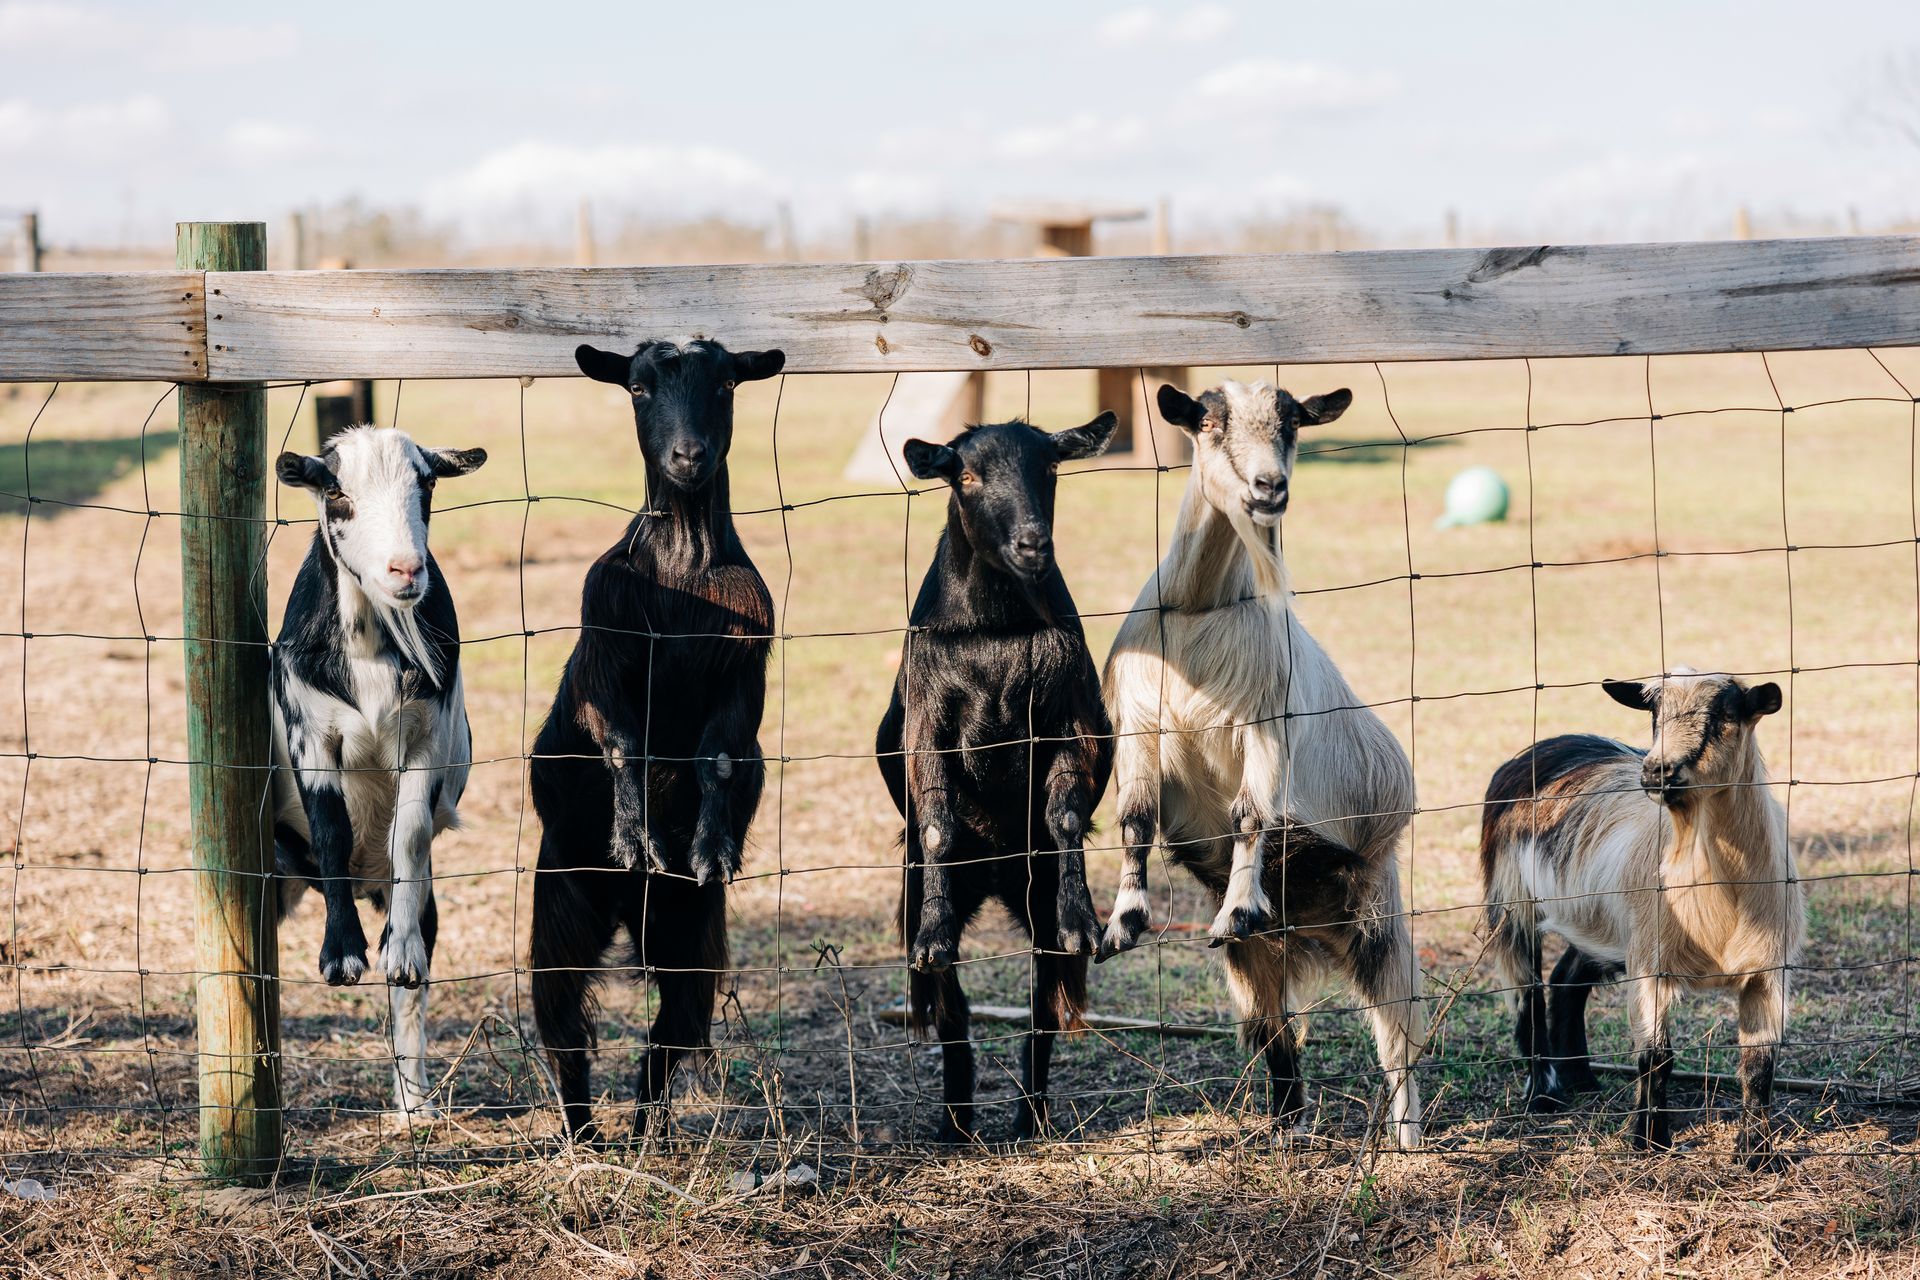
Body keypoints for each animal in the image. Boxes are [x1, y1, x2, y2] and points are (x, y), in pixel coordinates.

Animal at [271, 426, 488, 1118]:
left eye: (428, 483)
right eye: (335, 491)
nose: (406, 571)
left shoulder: (425, 735)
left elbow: (411, 833)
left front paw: (398, 955)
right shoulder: (310, 731)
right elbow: (330, 827)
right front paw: (341, 956)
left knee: (410, 979)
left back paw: (414, 1100)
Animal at [530, 337, 784, 1142]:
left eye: (727, 383)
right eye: (638, 388)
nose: (687, 455)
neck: (683, 573)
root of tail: (623, 907)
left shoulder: (744, 668)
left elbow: (721, 757)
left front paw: (710, 850)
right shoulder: (605, 654)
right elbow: (624, 744)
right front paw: (634, 836)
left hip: (682, 927)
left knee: (672, 1025)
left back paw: (647, 1134)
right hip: (564, 899)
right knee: (564, 1025)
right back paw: (583, 1137)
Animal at [875, 412, 1118, 1143]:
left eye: (1050, 467)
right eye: (967, 474)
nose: (1033, 542)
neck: (994, 628)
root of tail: (995, 875)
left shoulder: (1065, 716)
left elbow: (1065, 813)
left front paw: (1083, 920)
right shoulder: (927, 719)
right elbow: (936, 823)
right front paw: (933, 932)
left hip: (1030, 893)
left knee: (1042, 1004)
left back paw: (1028, 1116)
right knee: (952, 1008)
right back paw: (955, 1123)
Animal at [1098, 381, 1424, 1149]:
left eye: (1293, 425)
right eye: (1209, 423)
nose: (1270, 487)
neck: (1199, 605)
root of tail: (1306, 930)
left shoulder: (1264, 721)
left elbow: (1251, 814)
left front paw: (1238, 905)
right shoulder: (1140, 722)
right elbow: (1135, 820)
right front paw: (1123, 922)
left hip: (1376, 909)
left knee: (1397, 1033)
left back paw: (1406, 1138)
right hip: (1261, 961)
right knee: (1276, 1036)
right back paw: (1282, 1129)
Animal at [1481, 668, 1802, 1169]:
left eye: (1725, 714)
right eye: (1653, 713)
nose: (1656, 770)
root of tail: (1546, 746)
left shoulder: (1766, 971)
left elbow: (1759, 1067)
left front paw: (1756, 1153)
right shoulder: (1651, 965)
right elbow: (1656, 1057)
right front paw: (1648, 1141)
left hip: (1604, 921)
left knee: (1566, 979)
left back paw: (1581, 1079)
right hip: (1510, 900)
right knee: (1526, 990)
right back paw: (1544, 1096)